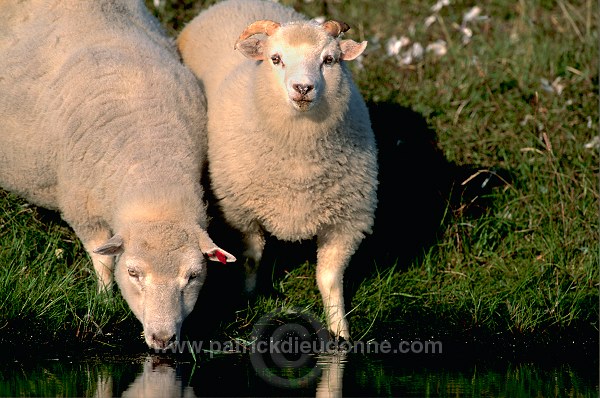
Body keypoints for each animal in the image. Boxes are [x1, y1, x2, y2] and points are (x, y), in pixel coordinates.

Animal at [0, 0, 234, 348]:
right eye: (134, 273)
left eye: (192, 276)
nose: (163, 339)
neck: (150, 160)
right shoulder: (84, 209)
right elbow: (103, 259)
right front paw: (104, 297)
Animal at [177, 0, 380, 340]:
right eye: (276, 59)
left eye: (330, 60)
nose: (303, 88)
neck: (299, 162)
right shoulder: (241, 212)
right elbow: (251, 259)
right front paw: (246, 298)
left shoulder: (347, 222)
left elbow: (330, 279)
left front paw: (340, 331)